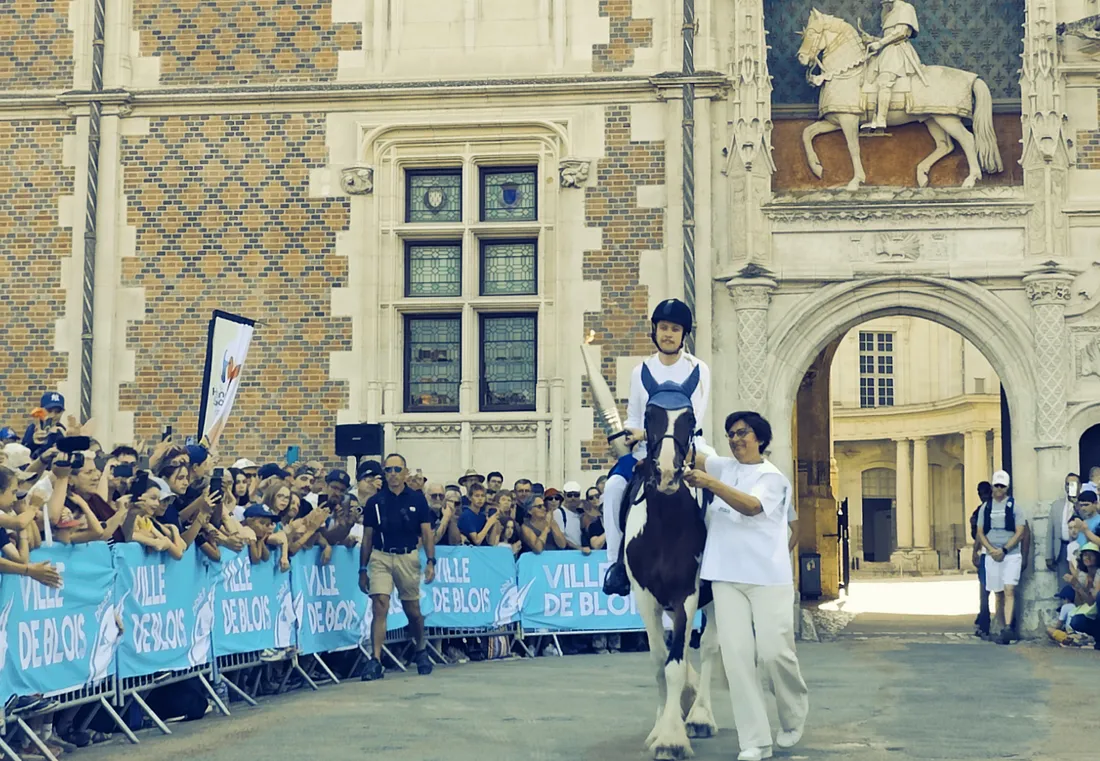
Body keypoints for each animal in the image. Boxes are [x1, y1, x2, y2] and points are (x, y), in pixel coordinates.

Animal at [624, 365, 726, 756]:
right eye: (649, 416)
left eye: (690, 419)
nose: (668, 473)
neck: (666, 524)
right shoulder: (645, 597)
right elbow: (659, 659)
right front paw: (660, 728)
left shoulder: (688, 594)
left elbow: (676, 664)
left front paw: (672, 737)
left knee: (709, 648)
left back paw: (700, 716)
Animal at [796, 8, 1003, 190]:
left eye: (812, 32)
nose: (801, 58)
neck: (846, 73)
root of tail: (972, 77)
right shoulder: (835, 121)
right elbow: (807, 133)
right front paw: (816, 168)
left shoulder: (849, 121)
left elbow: (853, 148)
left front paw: (856, 181)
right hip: (933, 119)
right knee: (945, 145)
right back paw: (922, 175)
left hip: (947, 118)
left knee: (967, 140)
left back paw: (970, 180)